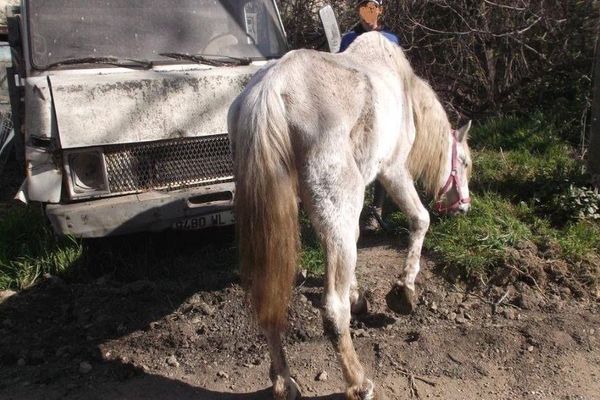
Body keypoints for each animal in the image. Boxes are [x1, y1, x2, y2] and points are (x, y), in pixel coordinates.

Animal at [227, 32, 472, 400]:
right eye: (466, 163)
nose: (465, 206)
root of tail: (271, 89)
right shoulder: (393, 171)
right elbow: (420, 220)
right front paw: (404, 290)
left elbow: (353, 245)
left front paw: (359, 296)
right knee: (333, 311)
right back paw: (358, 382)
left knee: (270, 303)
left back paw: (284, 381)